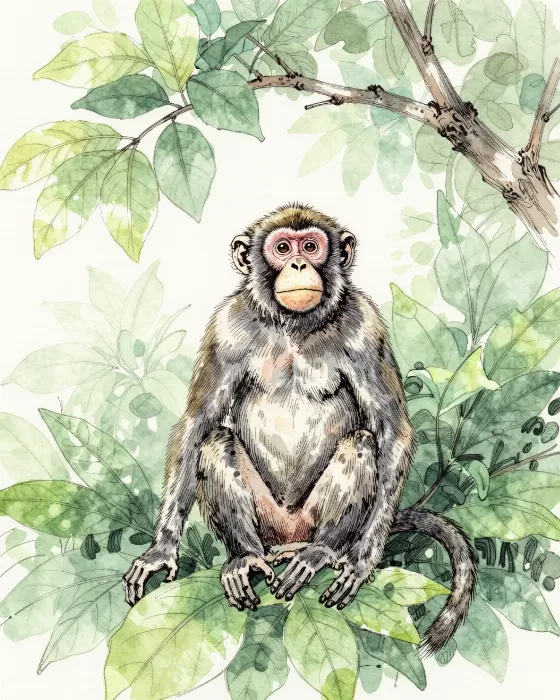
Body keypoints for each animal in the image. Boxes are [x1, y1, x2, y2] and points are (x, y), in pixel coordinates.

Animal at [123, 203, 477, 655]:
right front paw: (161, 549)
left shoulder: (365, 325)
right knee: (215, 441)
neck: (294, 327)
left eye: (310, 246)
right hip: (270, 523)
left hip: (310, 521)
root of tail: (289, 537)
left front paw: (363, 559)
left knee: (361, 443)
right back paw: (245, 557)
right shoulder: (226, 326)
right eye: (282, 248)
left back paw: (321, 551)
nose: (297, 264)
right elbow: (198, 423)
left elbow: (391, 428)